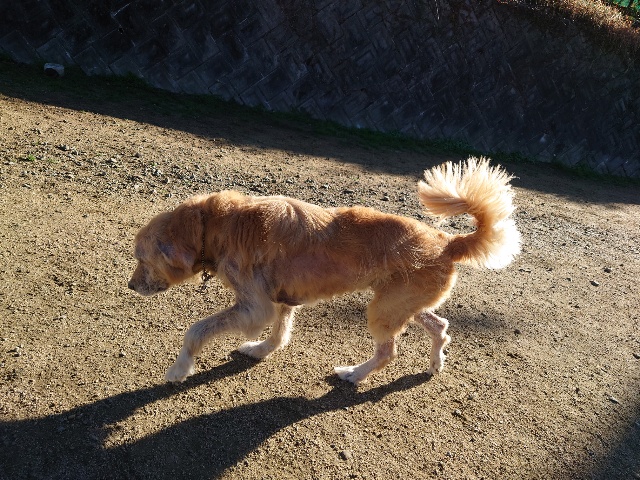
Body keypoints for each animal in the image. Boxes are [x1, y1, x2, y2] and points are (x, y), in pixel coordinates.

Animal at [128, 157, 520, 384]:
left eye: (142, 260)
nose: (131, 286)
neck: (214, 224)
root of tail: (449, 242)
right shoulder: (281, 299)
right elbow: (279, 333)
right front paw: (261, 351)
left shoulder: (254, 307)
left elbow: (196, 331)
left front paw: (179, 369)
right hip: (402, 304)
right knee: (441, 325)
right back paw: (436, 363)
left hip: (383, 310)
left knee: (388, 353)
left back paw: (353, 374)